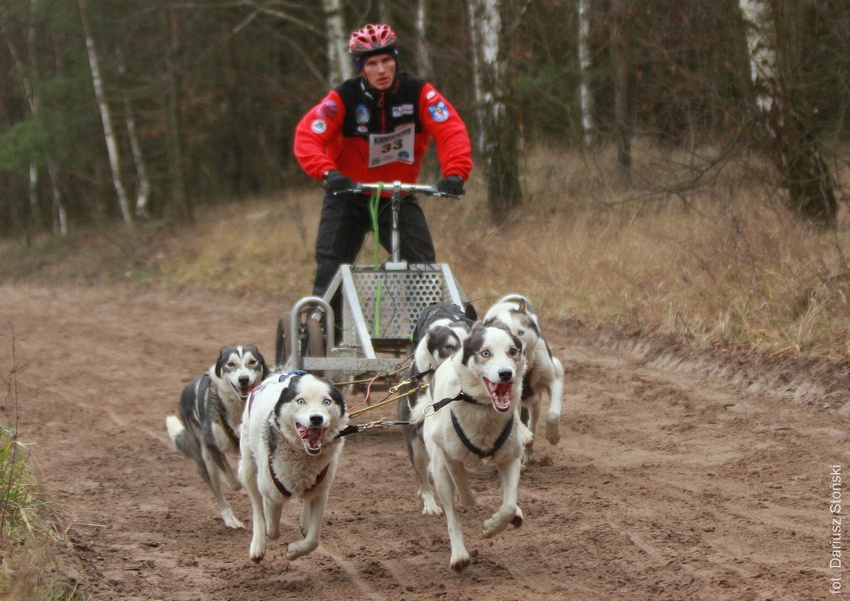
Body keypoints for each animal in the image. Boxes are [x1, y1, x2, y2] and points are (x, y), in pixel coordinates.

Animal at [166, 344, 268, 528]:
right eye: (231, 364)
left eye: (252, 362)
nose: (243, 379)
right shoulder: (212, 446)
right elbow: (234, 482)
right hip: (206, 461)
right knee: (219, 494)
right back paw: (230, 519)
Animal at [237, 370, 346, 564]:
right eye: (301, 401)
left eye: (326, 401)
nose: (316, 418)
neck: (304, 458)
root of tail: (282, 374)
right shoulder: (271, 495)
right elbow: (272, 529)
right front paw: (269, 536)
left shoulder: (321, 492)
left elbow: (313, 540)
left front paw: (294, 550)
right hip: (249, 468)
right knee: (257, 509)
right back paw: (258, 544)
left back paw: (304, 522)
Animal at [410, 322, 524, 568]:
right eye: (485, 353)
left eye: (512, 351)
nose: (506, 373)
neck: (482, 409)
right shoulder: (449, 455)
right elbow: (463, 492)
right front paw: (472, 497)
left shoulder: (510, 456)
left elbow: (508, 504)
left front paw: (493, 526)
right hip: (437, 466)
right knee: (451, 513)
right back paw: (459, 555)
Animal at [484, 292, 564, 462]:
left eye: (521, 333)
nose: (516, 350)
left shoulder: (554, 380)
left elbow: (553, 414)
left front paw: (553, 436)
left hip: (535, 403)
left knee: (532, 422)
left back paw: (528, 451)